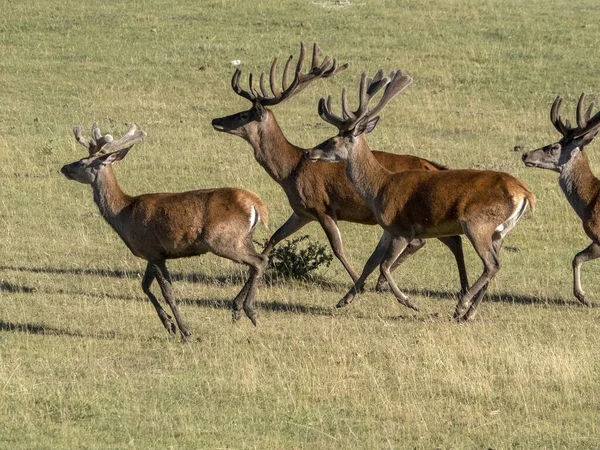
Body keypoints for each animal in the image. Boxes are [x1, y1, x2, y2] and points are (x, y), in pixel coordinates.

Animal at [59, 121, 270, 340]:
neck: (124, 214)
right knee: (260, 259)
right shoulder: (152, 253)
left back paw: (249, 310)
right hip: (244, 238)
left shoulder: (152, 250)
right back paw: (239, 308)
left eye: (83, 162)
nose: (64, 167)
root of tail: (256, 204)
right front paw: (169, 324)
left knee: (259, 261)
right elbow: (144, 286)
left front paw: (185, 331)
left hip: (223, 239)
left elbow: (167, 292)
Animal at [213, 42, 472, 296]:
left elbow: (337, 249)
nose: (216, 120)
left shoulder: (322, 206)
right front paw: (245, 288)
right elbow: (273, 239)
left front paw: (358, 283)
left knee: (433, 241)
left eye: (243, 114)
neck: (289, 171)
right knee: (452, 240)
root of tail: (432, 166)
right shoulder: (302, 211)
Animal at [304, 69, 536, 320]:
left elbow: (384, 266)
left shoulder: (403, 228)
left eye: (333, 140)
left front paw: (409, 301)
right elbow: (371, 262)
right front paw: (344, 299)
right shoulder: (388, 229)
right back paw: (469, 313)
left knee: (491, 264)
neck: (380, 187)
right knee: (495, 264)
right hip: (500, 232)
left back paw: (461, 305)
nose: (309, 152)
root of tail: (525, 192)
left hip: (477, 222)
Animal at [520, 93, 600, 308]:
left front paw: (584, 297)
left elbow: (577, 258)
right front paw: (584, 297)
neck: (590, 199)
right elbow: (576, 258)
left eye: (555, 147)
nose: (525, 154)